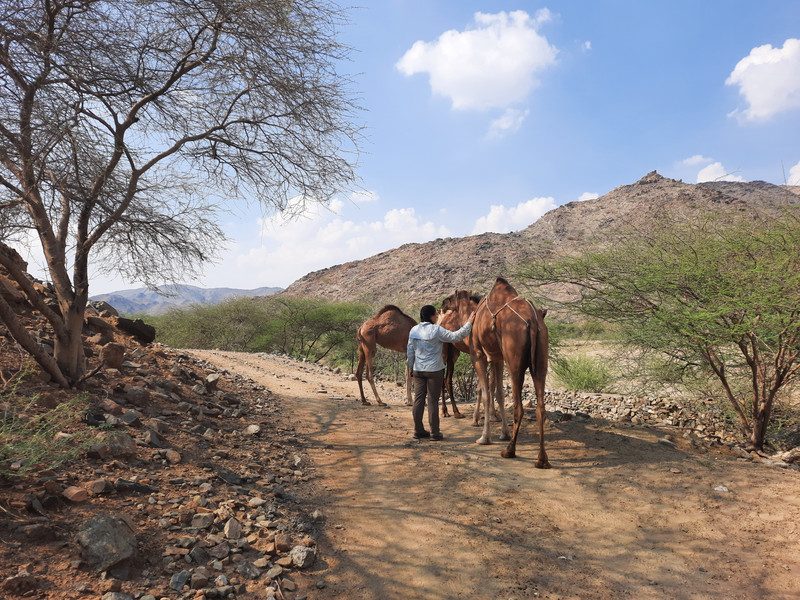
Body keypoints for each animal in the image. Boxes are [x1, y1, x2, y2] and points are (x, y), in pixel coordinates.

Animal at [444, 278, 550, 466]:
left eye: (451, 297)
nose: (442, 304)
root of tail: (533, 321)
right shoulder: (497, 357)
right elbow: (498, 392)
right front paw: (503, 432)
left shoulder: (478, 355)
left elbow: (486, 392)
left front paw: (484, 437)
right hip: (541, 356)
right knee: (540, 407)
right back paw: (542, 459)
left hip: (513, 359)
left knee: (518, 406)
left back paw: (509, 450)